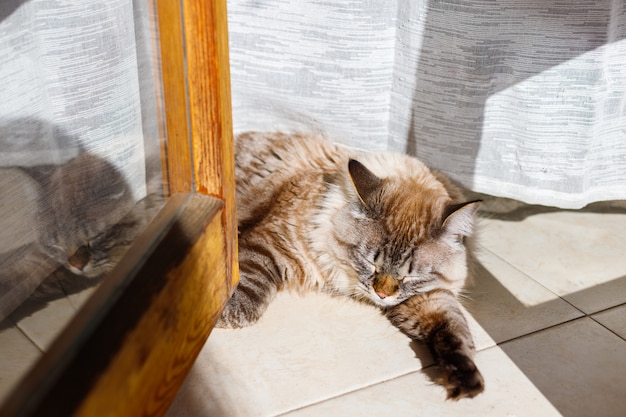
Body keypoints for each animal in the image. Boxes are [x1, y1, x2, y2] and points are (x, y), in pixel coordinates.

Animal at [217, 133, 486, 400]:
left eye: (410, 277)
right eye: (371, 263)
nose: (382, 294)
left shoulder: (428, 297)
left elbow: (455, 330)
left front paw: (464, 380)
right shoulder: (274, 246)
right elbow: (244, 300)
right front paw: (217, 317)